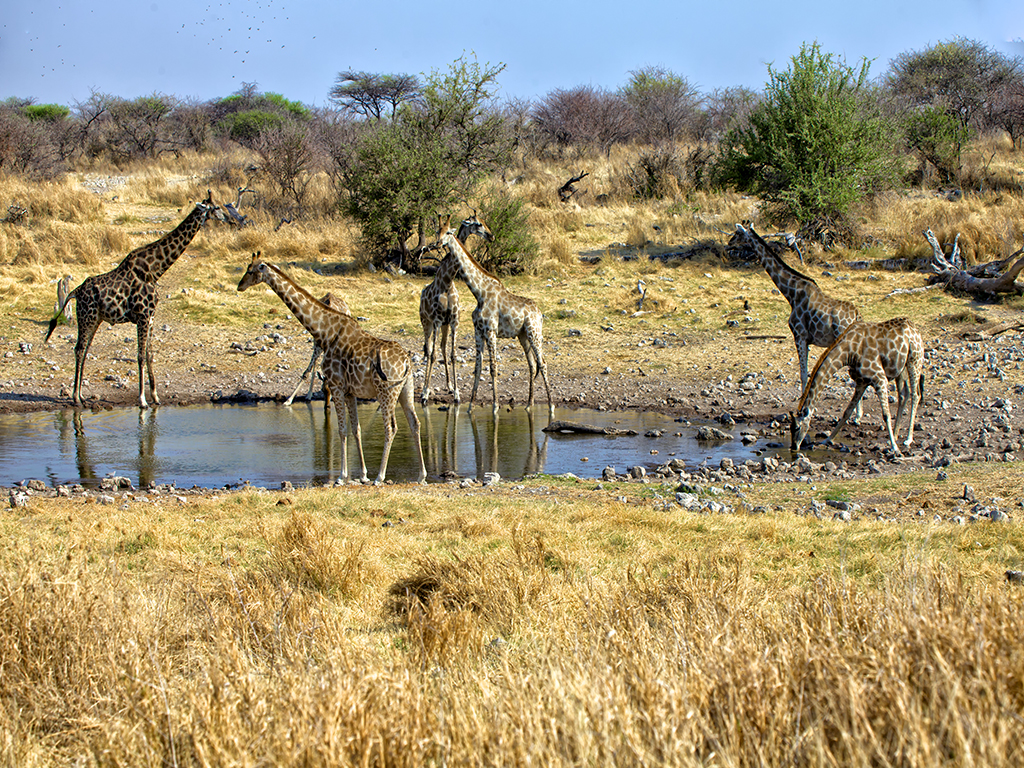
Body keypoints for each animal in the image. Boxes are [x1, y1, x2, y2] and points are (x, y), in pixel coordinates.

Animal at [45, 191, 221, 409]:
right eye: (216, 207)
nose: (228, 217)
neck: (155, 270)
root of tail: (76, 291)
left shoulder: (151, 317)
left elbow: (150, 355)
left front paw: (155, 397)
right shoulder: (143, 316)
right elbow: (140, 356)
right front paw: (142, 400)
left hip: (95, 319)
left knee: (84, 349)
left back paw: (82, 396)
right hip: (87, 317)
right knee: (78, 349)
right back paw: (76, 398)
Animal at [237, 252, 425, 483]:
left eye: (250, 269)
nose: (239, 286)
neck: (325, 331)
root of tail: (407, 361)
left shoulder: (336, 385)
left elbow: (342, 430)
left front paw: (341, 476)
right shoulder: (350, 391)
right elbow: (355, 429)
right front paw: (362, 474)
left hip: (386, 391)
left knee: (391, 428)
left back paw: (380, 476)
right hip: (406, 389)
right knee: (415, 423)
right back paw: (421, 475)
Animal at [417, 215, 493, 409]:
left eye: (449, 232)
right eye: (438, 231)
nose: (491, 236)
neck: (447, 282)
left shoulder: (453, 321)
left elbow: (452, 354)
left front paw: (457, 393)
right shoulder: (436, 320)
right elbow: (433, 355)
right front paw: (425, 394)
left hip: (443, 326)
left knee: (443, 348)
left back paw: (449, 386)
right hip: (426, 323)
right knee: (429, 350)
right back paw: (425, 389)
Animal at [438, 219, 552, 421]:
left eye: (448, 233)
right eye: (438, 231)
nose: (436, 244)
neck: (479, 292)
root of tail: (539, 313)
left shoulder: (491, 330)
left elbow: (493, 367)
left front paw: (495, 407)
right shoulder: (478, 331)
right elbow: (477, 367)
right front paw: (470, 407)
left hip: (534, 332)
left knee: (543, 363)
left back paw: (552, 407)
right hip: (523, 336)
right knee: (532, 364)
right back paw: (529, 405)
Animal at [786, 319, 925, 456]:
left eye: (797, 427)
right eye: (790, 427)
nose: (793, 447)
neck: (849, 352)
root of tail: (915, 329)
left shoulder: (880, 378)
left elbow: (886, 415)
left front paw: (895, 449)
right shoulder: (861, 382)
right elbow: (847, 412)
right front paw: (827, 440)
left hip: (914, 360)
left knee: (915, 395)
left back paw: (908, 439)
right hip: (901, 369)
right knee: (903, 395)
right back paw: (896, 436)